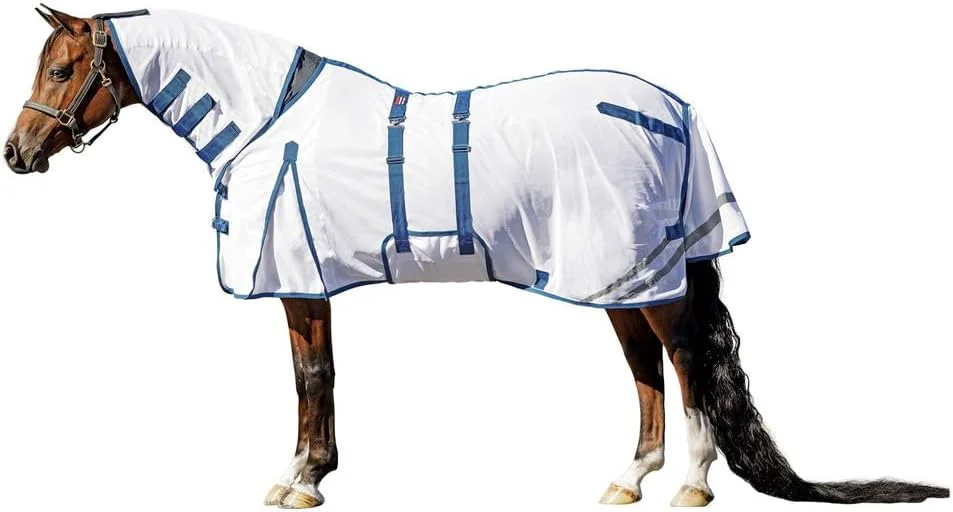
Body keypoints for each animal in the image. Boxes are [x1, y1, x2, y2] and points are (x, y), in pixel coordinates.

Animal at [5, 5, 947, 509]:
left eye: (60, 67)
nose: (17, 153)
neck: (273, 120)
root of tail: (670, 108)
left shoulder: (299, 283)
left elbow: (311, 378)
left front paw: (299, 479)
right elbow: (321, 377)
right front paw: (318, 470)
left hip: (648, 280)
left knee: (680, 363)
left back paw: (688, 482)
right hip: (617, 279)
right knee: (645, 369)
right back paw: (628, 478)